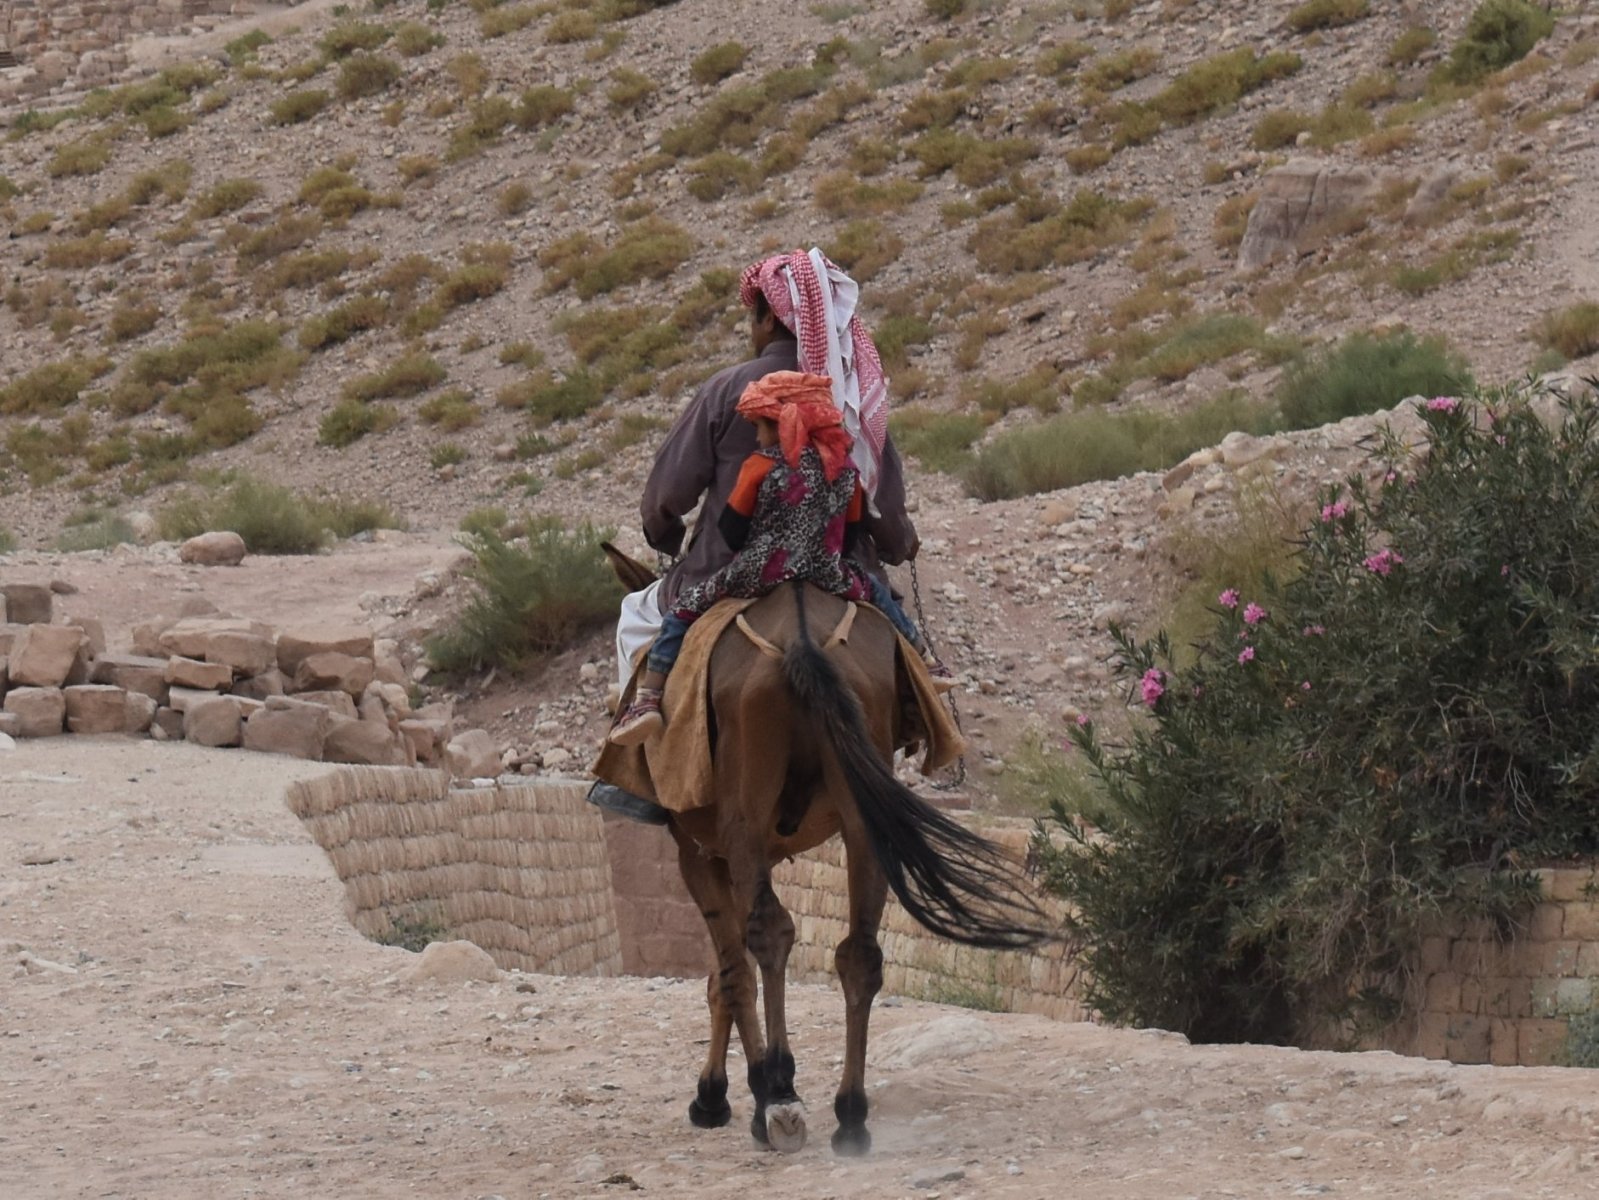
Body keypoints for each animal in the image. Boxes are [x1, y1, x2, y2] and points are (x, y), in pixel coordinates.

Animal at [600, 546, 1051, 1156]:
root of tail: (803, 643)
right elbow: (727, 973)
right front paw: (727, 1088)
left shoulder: (700, 854)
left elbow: (730, 975)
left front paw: (721, 1094)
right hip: (862, 816)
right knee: (858, 953)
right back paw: (850, 1115)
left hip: (745, 819)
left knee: (769, 935)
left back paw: (778, 1096)